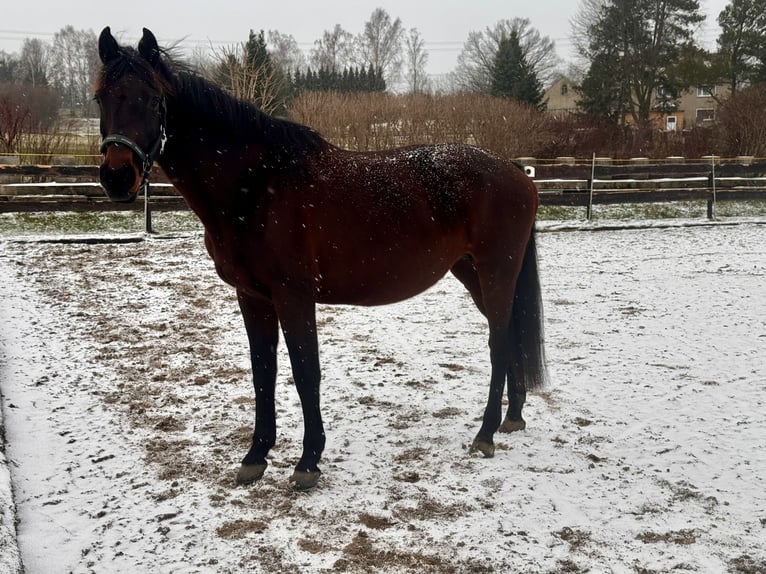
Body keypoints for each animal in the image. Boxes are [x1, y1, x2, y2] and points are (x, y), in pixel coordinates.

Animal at [96, 27, 548, 492]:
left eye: (153, 99)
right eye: (100, 98)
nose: (117, 177)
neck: (257, 185)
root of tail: (515, 171)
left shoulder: (294, 296)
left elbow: (304, 371)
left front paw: (308, 461)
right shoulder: (252, 297)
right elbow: (263, 372)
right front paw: (256, 456)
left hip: (495, 270)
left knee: (498, 341)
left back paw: (486, 434)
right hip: (471, 272)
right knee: (511, 333)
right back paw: (513, 417)